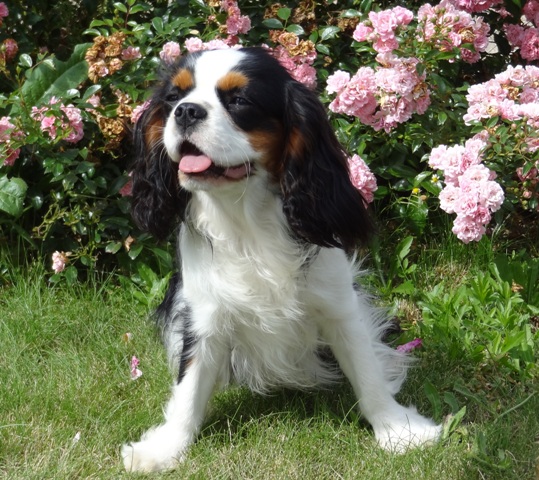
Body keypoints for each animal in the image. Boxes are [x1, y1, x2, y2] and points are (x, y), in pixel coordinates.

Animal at [122, 47, 441, 472]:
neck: (246, 218)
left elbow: (365, 368)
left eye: (239, 100)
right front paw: (166, 448)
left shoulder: (339, 305)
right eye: (173, 97)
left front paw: (396, 430)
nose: (186, 111)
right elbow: (189, 385)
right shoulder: (204, 313)